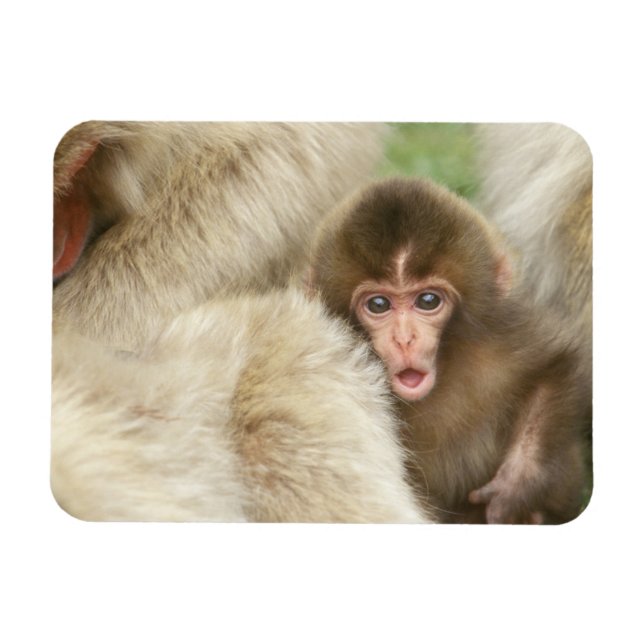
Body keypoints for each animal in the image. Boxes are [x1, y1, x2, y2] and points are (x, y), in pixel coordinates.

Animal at [308, 176, 591, 524]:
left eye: (428, 300)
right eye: (378, 305)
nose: (405, 339)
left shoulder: (502, 329)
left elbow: (558, 367)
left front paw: (518, 484)